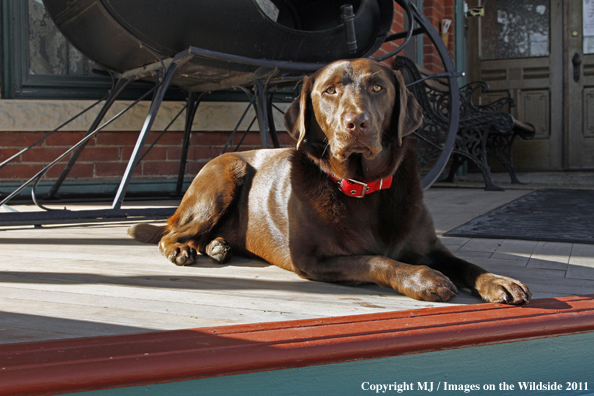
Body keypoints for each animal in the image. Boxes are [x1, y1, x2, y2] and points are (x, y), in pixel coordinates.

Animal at [128, 58, 528, 304]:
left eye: (378, 88)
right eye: (330, 90)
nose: (357, 123)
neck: (364, 188)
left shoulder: (432, 247)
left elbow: (466, 264)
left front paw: (498, 281)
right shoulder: (313, 258)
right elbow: (375, 259)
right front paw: (424, 279)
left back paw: (217, 246)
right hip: (225, 176)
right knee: (171, 233)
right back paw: (182, 250)